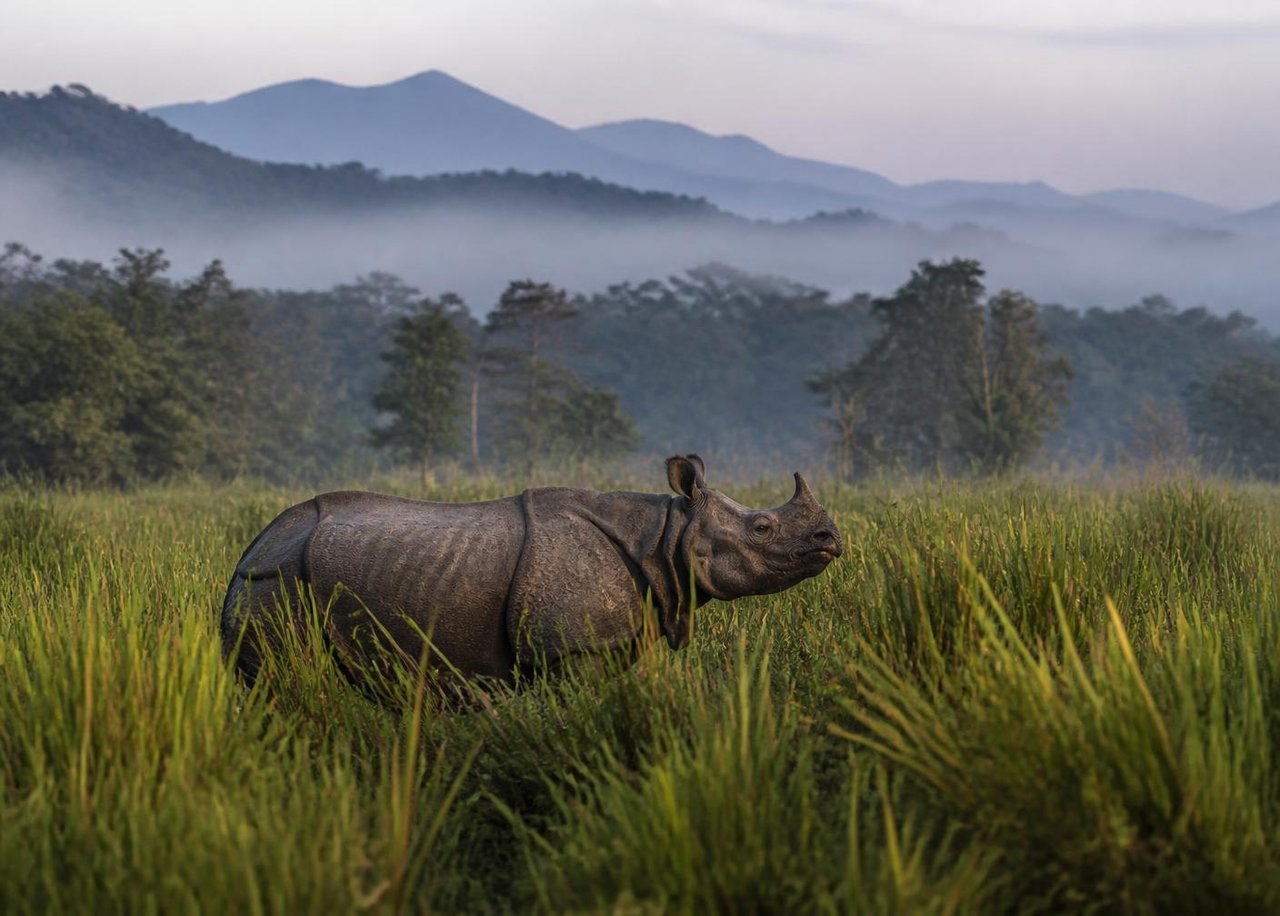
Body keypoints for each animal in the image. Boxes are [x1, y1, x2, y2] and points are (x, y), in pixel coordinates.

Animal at [221, 455, 842, 687]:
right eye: (762, 527)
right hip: (276, 582)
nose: (831, 540)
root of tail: (246, 555)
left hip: (283, 576)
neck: (665, 535)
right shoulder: (573, 651)